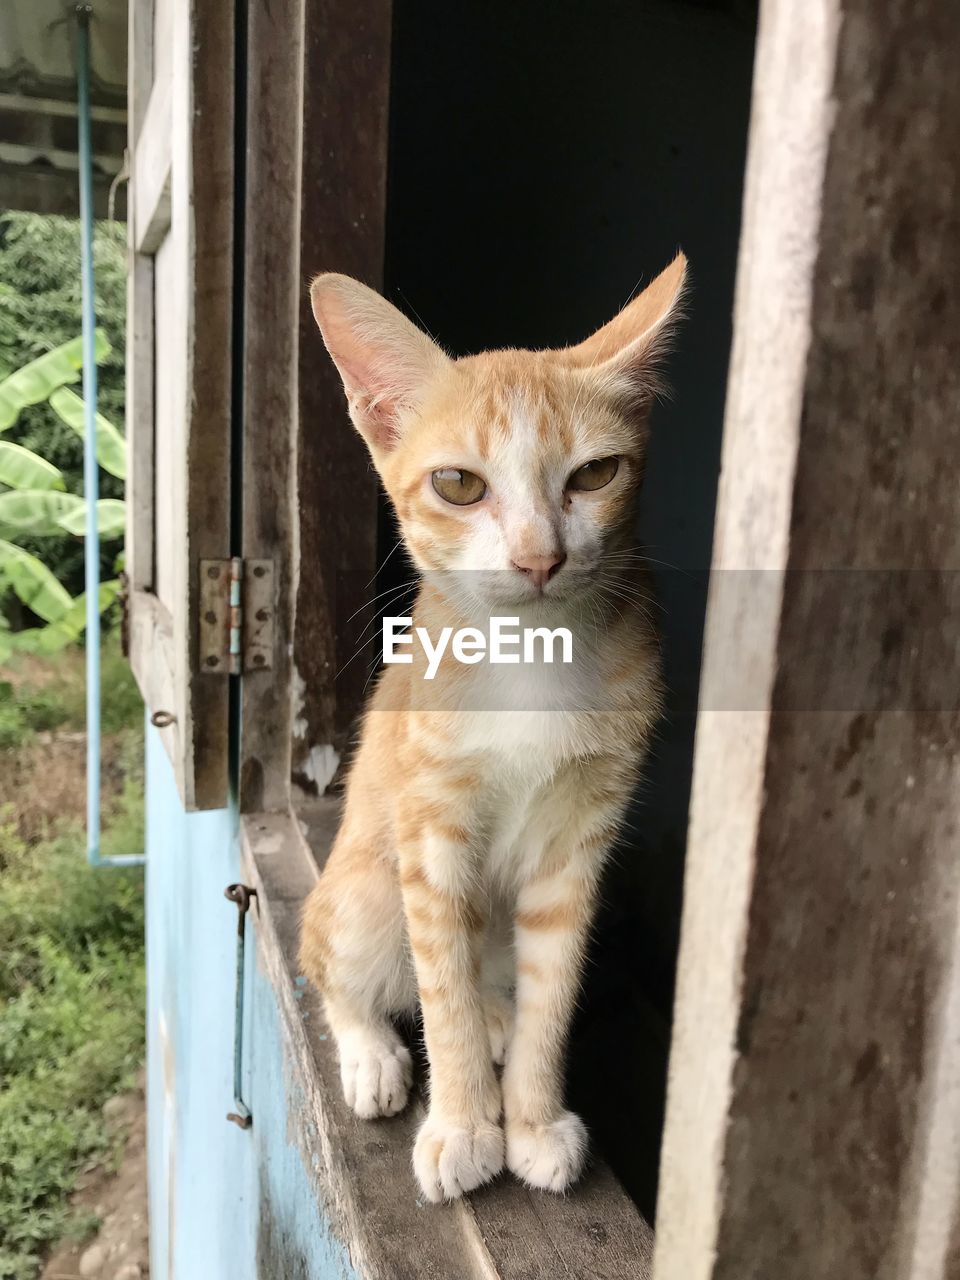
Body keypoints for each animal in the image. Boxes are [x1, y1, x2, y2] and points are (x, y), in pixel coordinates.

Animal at [299, 257, 686, 1198]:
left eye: (595, 475)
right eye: (459, 485)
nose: (540, 557)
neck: (531, 657)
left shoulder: (580, 841)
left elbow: (554, 987)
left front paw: (533, 1118)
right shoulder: (430, 829)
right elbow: (441, 989)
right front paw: (465, 1124)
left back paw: (499, 1020)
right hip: (365, 888)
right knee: (329, 962)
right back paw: (372, 1052)